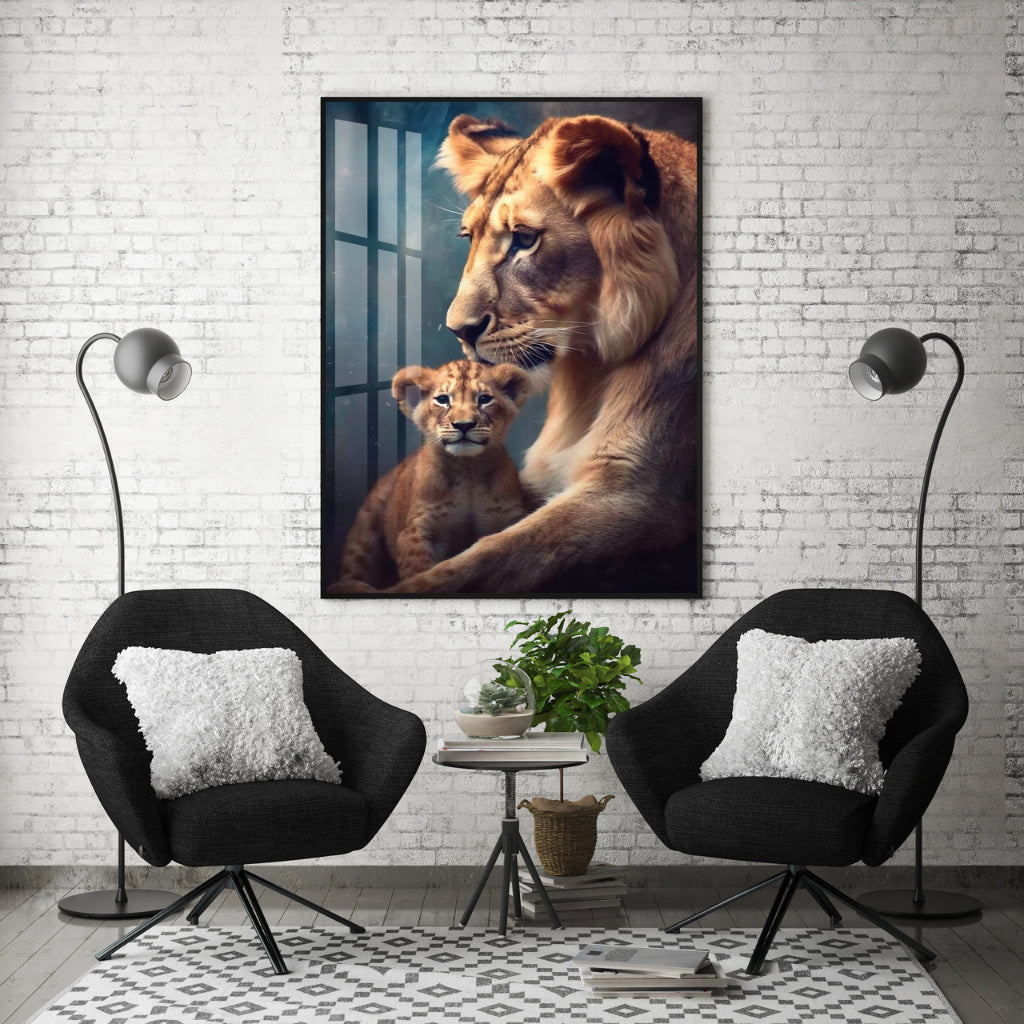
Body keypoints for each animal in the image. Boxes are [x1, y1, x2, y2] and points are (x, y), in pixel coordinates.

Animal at [330, 359, 532, 592]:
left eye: (484, 399)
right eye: (443, 399)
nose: (464, 425)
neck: (468, 471)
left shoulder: (509, 517)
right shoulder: (416, 530)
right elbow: (420, 574)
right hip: (364, 534)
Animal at [384, 113, 700, 595]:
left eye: (524, 239)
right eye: (469, 237)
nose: (459, 330)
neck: (594, 371)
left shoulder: (639, 496)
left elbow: (482, 561)